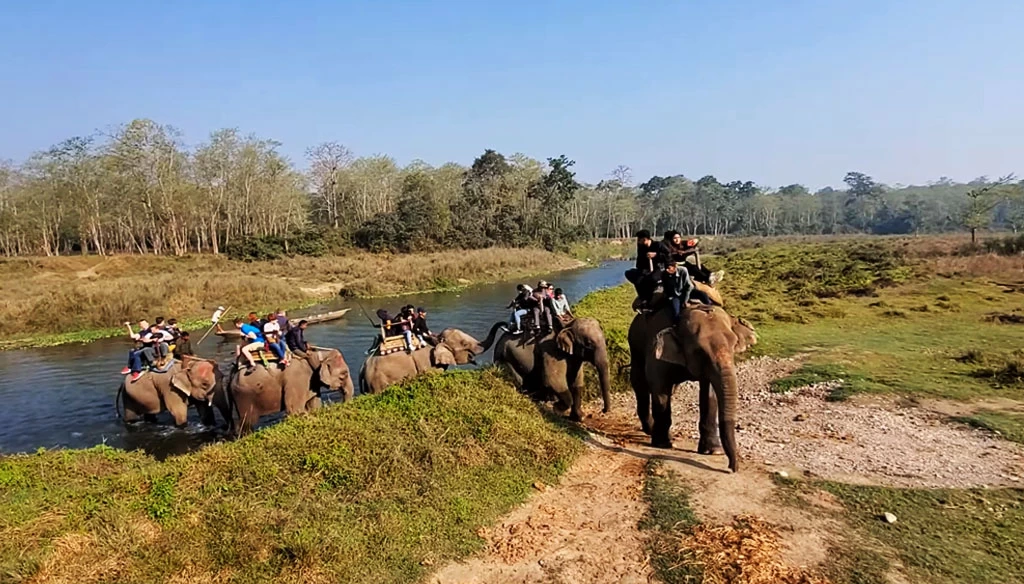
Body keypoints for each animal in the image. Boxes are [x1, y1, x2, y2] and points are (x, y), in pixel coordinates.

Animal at [224, 346, 356, 432]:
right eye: (344, 374)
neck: (318, 355)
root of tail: (233, 372)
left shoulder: (311, 382)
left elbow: (314, 404)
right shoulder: (297, 380)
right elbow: (294, 409)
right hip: (243, 395)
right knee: (247, 422)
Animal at [360, 319, 503, 393]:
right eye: (465, 344)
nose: (505, 325)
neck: (436, 341)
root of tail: (363, 368)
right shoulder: (426, 363)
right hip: (378, 381)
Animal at [626, 297, 757, 471]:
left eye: (734, 344)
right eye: (699, 350)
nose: (732, 468)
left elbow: (709, 393)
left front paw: (713, 451)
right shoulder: (656, 346)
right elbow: (659, 388)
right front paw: (662, 445)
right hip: (635, 342)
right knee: (640, 382)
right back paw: (650, 430)